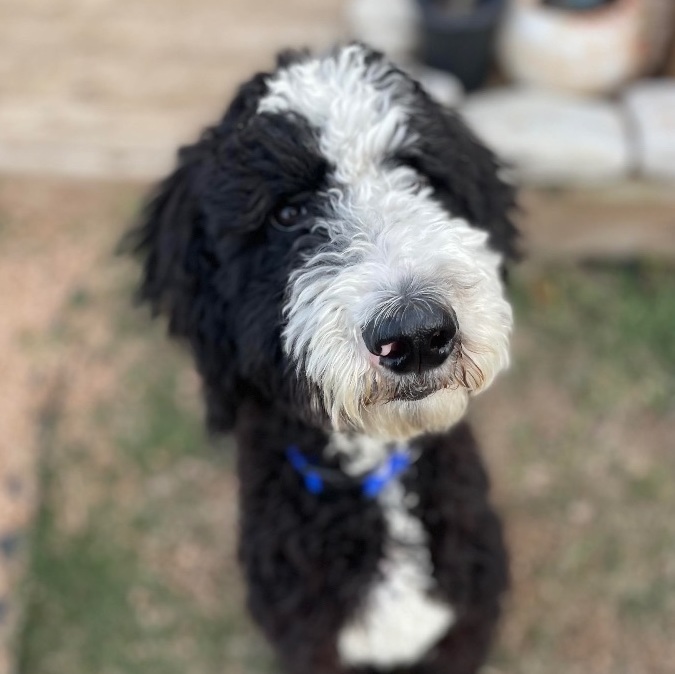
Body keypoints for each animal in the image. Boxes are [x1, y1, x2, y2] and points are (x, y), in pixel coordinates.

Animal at [128, 43, 516, 672]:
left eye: (418, 177)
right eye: (287, 214)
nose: (415, 334)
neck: (373, 478)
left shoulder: (466, 627)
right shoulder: (305, 640)